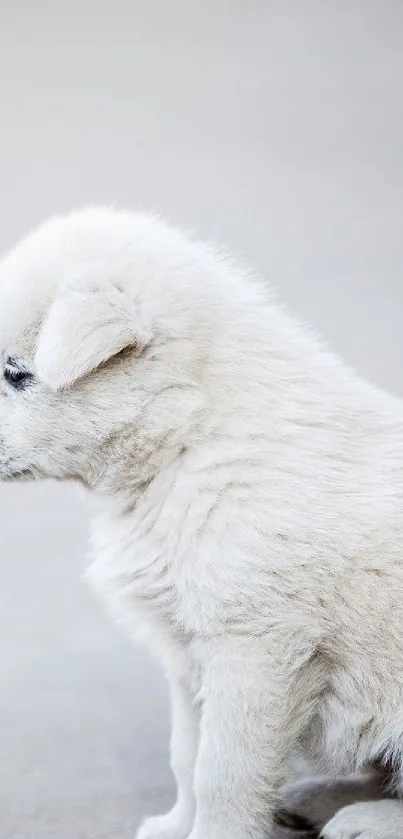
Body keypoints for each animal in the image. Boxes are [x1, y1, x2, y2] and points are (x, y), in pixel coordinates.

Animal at [0, 208, 403, 839]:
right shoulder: (187, 651)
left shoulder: (255, 649)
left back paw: (367, 819)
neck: (188, 441)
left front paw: (214, 831)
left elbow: (223, 770)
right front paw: (177, 826)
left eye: (15, 373)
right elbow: (187, 755)